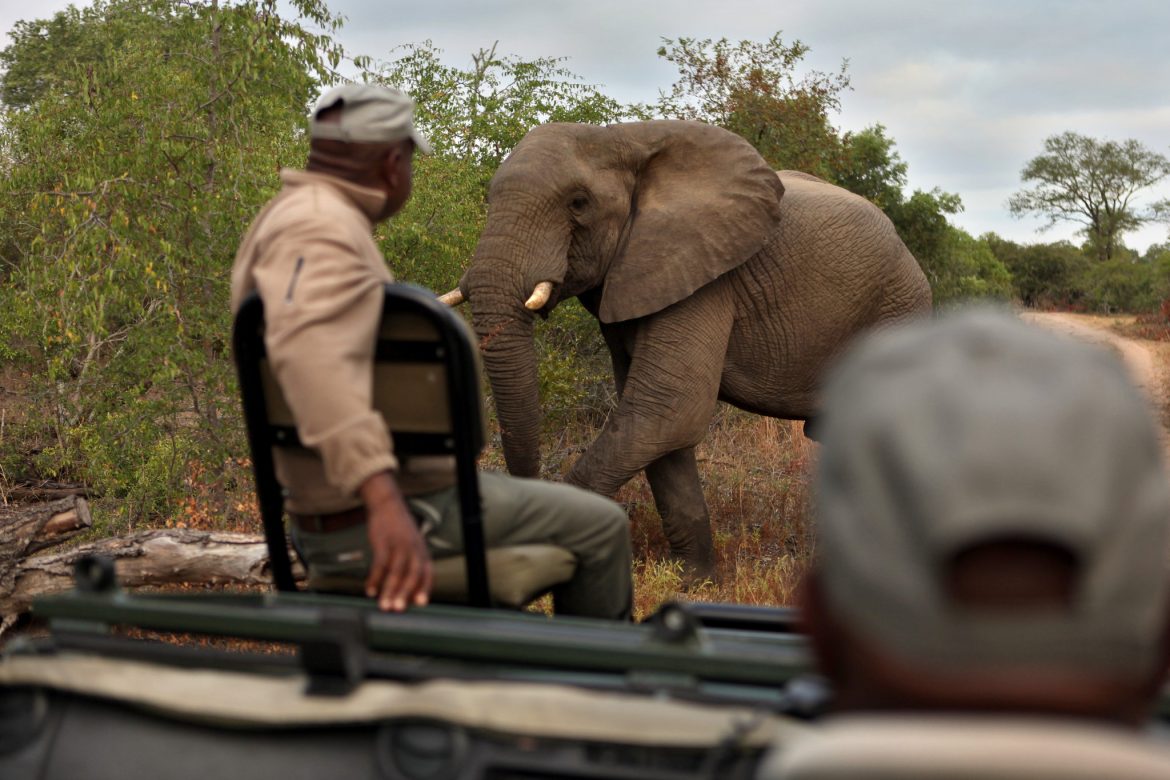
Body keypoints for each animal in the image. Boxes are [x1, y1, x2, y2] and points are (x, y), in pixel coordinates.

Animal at [442, 119, 932, 583]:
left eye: (578, 203)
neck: (622, 140)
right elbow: (655, 424)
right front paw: (692, 581)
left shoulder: (707, 277)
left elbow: (668, 409)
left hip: (897, 310)